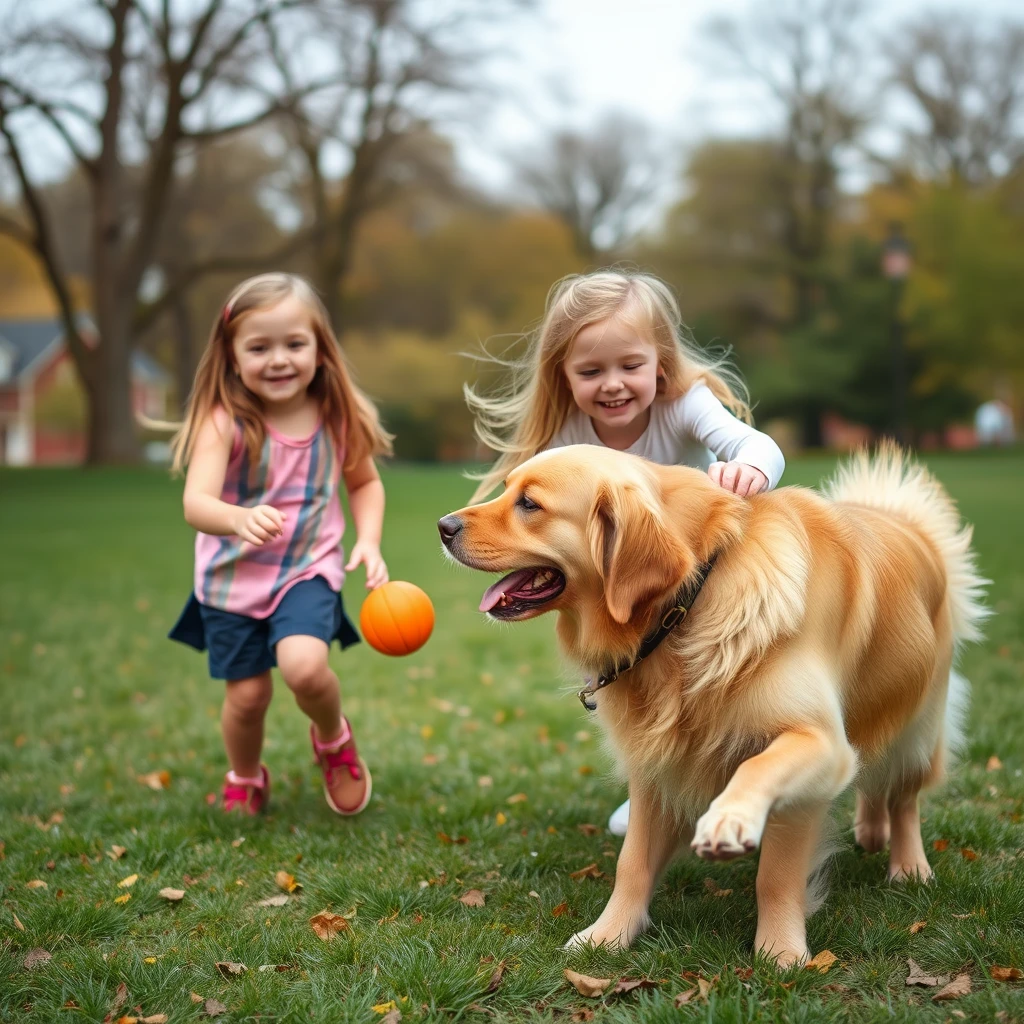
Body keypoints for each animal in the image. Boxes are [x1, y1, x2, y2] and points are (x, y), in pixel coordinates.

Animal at [438, 444, 983, 962]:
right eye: (507, 489)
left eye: (530, 504)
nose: (443, 527)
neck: (690, 602)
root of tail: (908, 521)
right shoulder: (657, 762)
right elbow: (632, 862)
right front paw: (607, 936)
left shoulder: (820, 742)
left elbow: (771, 852)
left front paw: (780, 949)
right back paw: (870, 832)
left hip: (919, 727)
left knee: (904, 795)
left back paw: (908, 866)